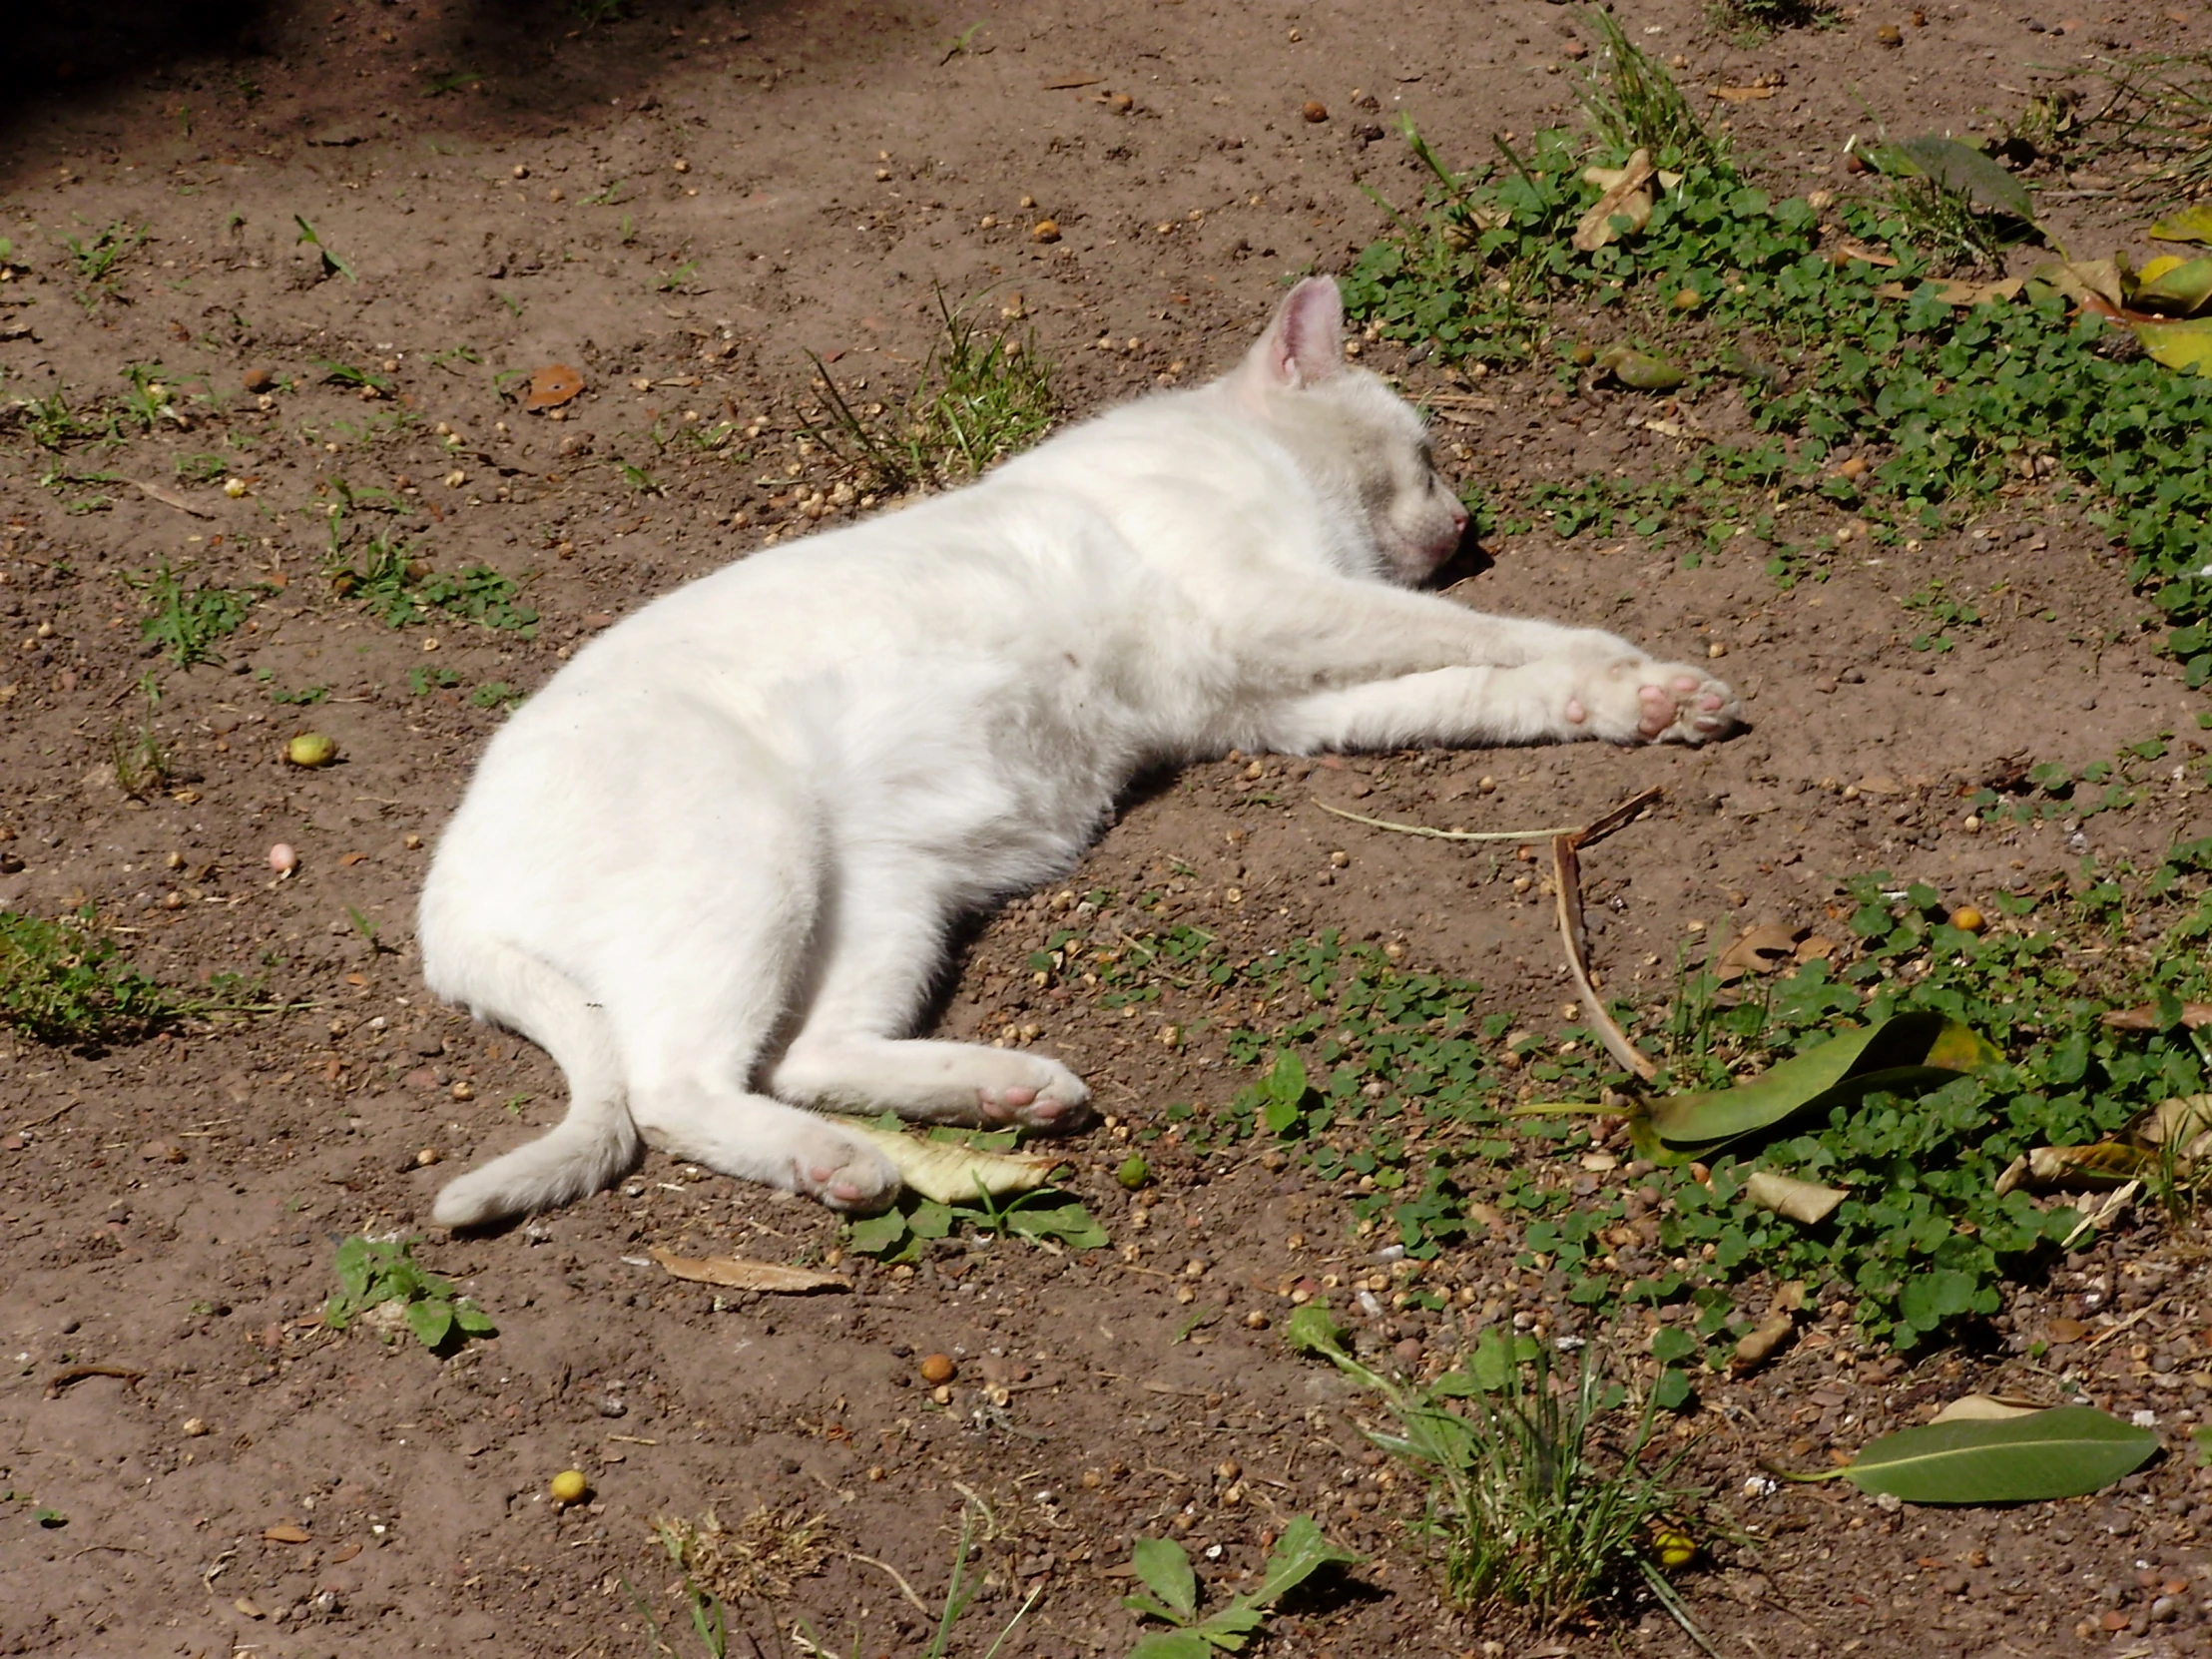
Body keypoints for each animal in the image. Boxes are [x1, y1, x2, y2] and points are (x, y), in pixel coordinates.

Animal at [422, 279, 1734, 1230]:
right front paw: (1614, 661)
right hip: (752, 860)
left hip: (887, 896)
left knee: (801, 1054)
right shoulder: (1268, 606)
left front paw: (1644, 702)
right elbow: (1494, 636)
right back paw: (840, 1164)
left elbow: (1482, 682)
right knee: (674, 1087)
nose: (1463, 525)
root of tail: (441, 896)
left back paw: (1004, 1091)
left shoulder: (1284, 704)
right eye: (1423, 452)